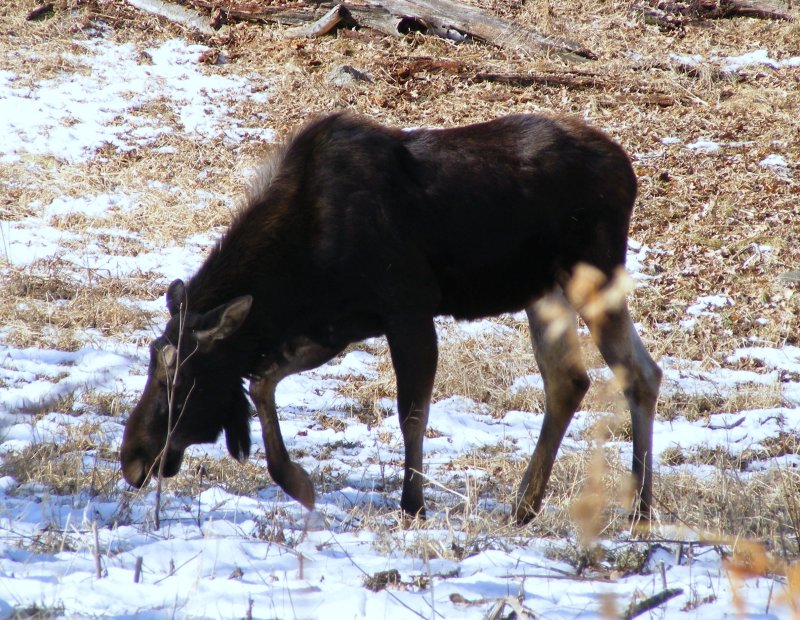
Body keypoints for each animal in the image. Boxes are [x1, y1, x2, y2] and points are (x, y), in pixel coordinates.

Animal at [120, 112, 664, 524]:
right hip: (544, 291)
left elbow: (412, 414)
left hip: (592, 275)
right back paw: (526, 505)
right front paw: (296, 480)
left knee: (637, 372)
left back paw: (637, 509)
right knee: (571, 379)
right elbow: (261, 382)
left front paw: (413, 504)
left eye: (176, 376)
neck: (298, 271)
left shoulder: (408, 311)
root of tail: (628, 171)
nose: (132, 458)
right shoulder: (333, 326)